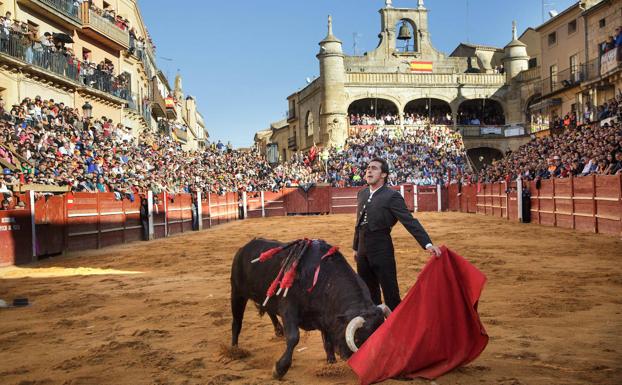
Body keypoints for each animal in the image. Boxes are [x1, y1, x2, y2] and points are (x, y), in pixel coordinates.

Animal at [234, 238, 390, 376]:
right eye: (358, 340)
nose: (356, 363)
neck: (324, 278)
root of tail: (245, 248)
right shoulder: (288, 309)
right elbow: (293, 337)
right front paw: (279, 369)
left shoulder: (325, 316)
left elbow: (327, 341)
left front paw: (331, 365)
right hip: (238, 293)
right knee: (237, 321)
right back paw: (235, 350)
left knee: (268, 308)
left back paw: (278, 331)